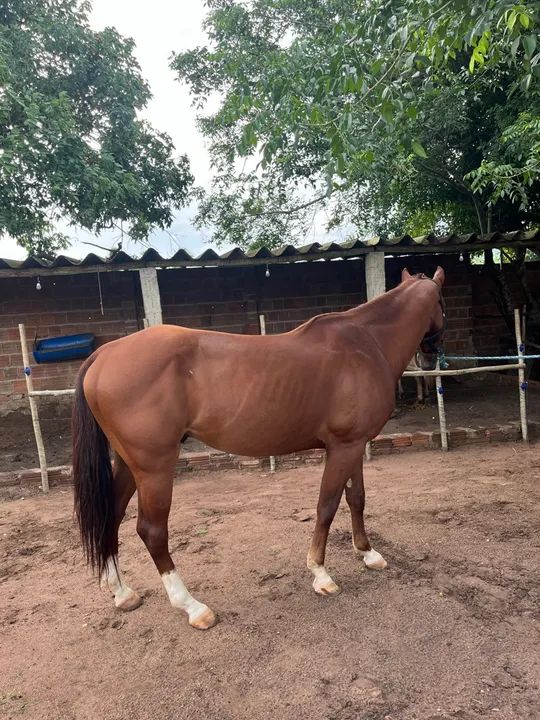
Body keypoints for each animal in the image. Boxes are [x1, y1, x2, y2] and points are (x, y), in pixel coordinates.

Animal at [72, 266, 446, 630]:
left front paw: (368, 554)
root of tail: (103, 354)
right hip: (154, 467)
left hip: (128, 463)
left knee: (112, 515)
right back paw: (193, 607)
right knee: (151, 531)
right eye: (442, 303)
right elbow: (326, 506)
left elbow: (356, 499)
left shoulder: (354, 446)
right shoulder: (342, 449)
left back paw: (122, 592)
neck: (367, 344)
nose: (429, 359)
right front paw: (321, 574)